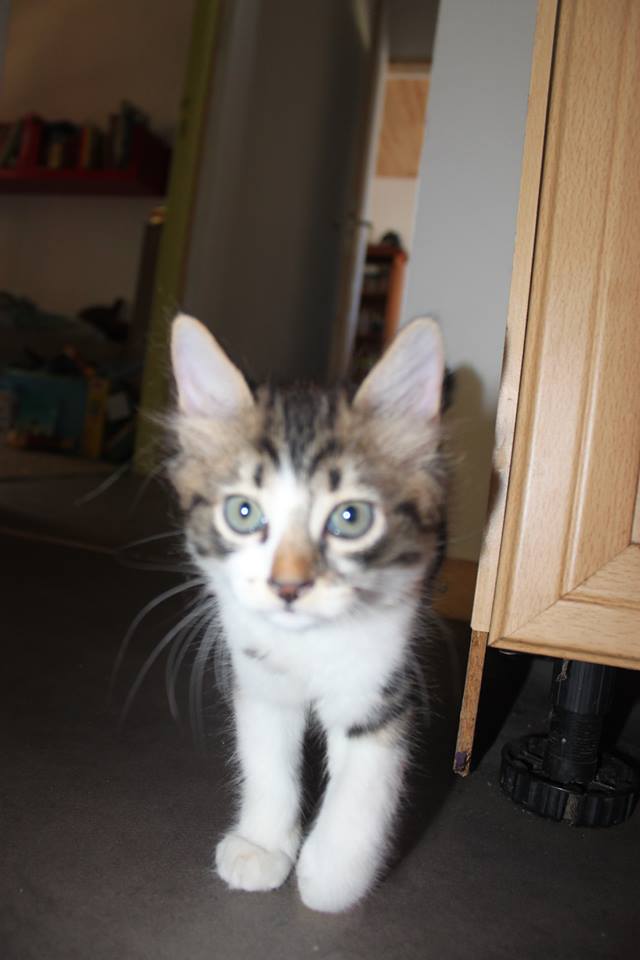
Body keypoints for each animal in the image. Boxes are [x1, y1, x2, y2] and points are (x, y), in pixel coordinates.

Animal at [167, 311, 446, 912]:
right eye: (243, 512)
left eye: (350, 518)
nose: (289, 585)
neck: (308, 642)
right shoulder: (257, 675)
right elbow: (267, 759)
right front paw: (262, 845)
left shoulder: (383, 676)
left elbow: (366, 780)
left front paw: (334, 875)